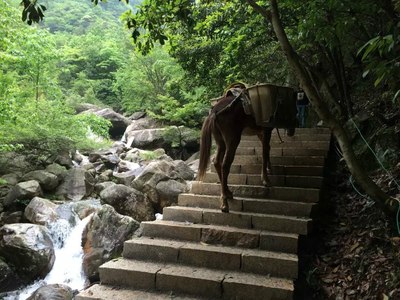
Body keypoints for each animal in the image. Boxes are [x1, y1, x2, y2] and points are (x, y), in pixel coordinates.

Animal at [198, 83, 298, 212]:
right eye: (294, 109)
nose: (292, 131)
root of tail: (214, 112)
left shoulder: (261, 132)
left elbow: (267, 149)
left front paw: (269, 169)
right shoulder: (266, 131)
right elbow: (264, 152)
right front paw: (266, 180)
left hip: (221, 142)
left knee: (216, 162)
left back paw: (228, 192)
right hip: (233, 140)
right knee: (225, 165)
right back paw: (224, 203)